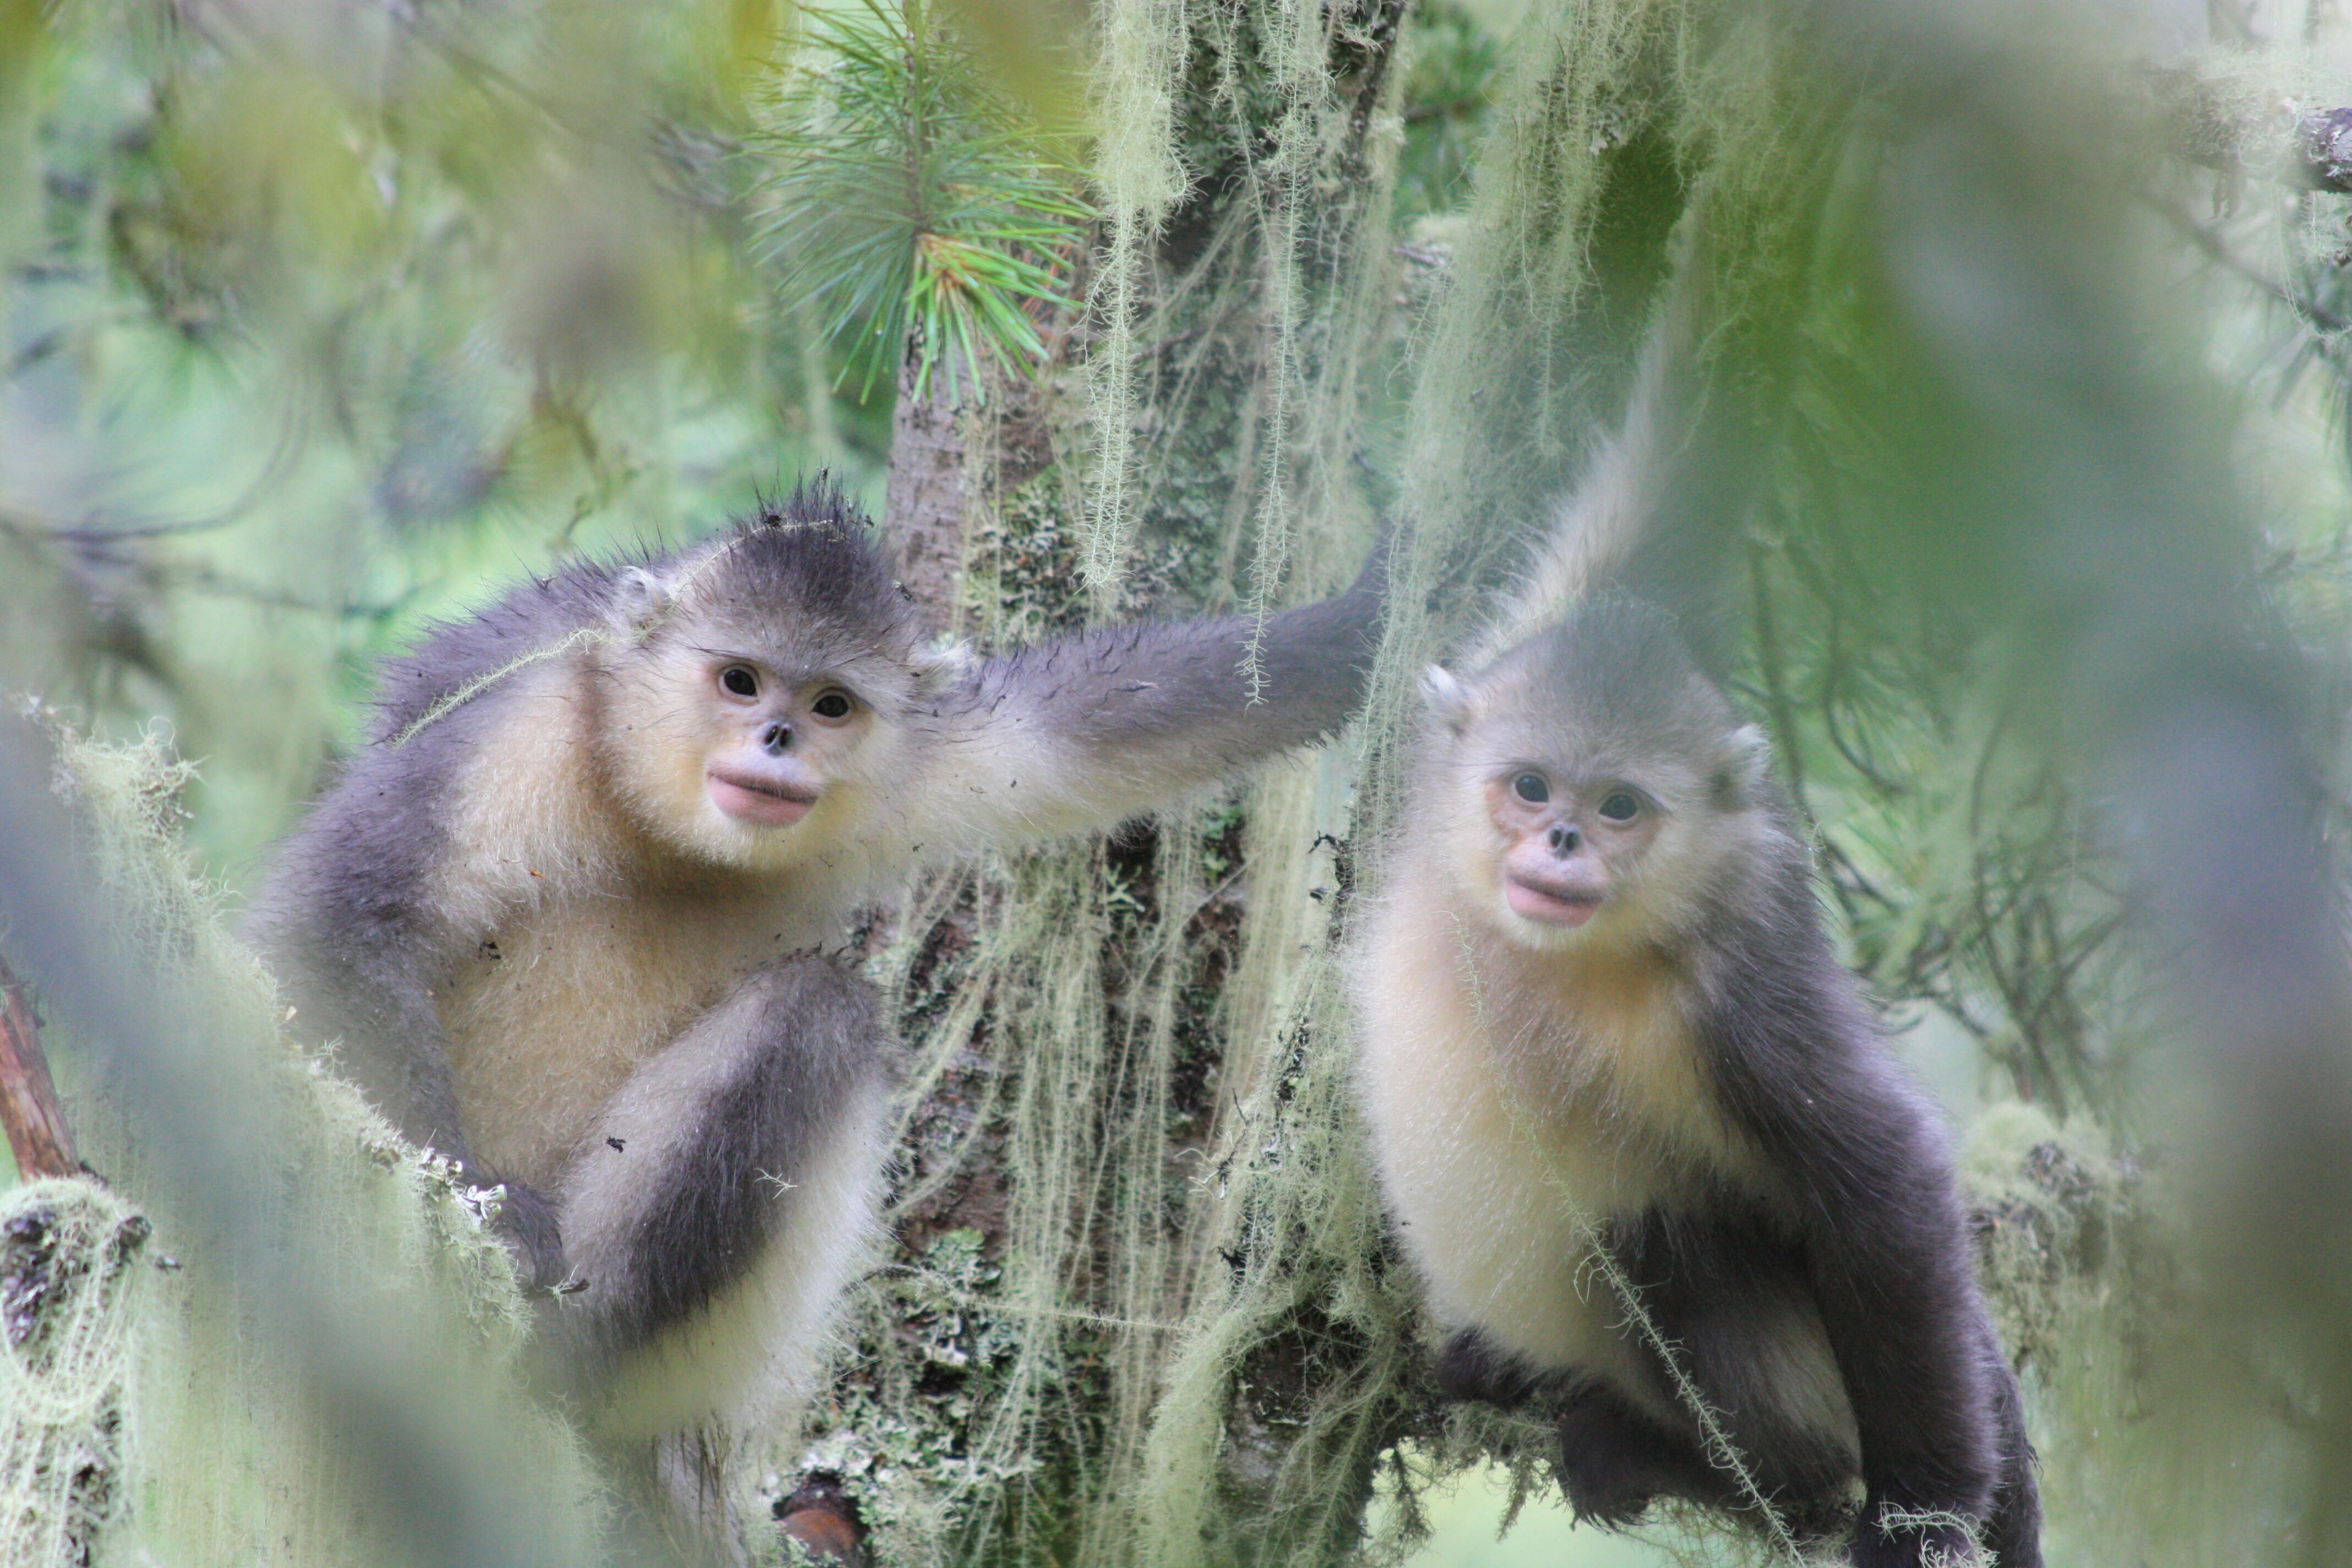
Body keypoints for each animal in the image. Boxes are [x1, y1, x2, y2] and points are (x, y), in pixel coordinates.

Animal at [243, 484, 1373, 1561]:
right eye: (741, 682)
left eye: (831, 704)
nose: (778, 739)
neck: (664, 826)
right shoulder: (514, 721)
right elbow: (337, 918)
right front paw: (495, 1218)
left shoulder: (929, 747)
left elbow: (1106, 722)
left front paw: (1384, 602)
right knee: (817, 1012)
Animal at [1354, 217, 2051, 1561]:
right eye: (1529, 785)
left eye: (1622, 807)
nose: (1563, 842)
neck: (1545, 960)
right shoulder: (1540, 631)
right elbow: (1680, 458)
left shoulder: (1734, 992)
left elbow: (1888, 1186)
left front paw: (1920, 1519)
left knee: (1675, 1244)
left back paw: (1703, 1464)